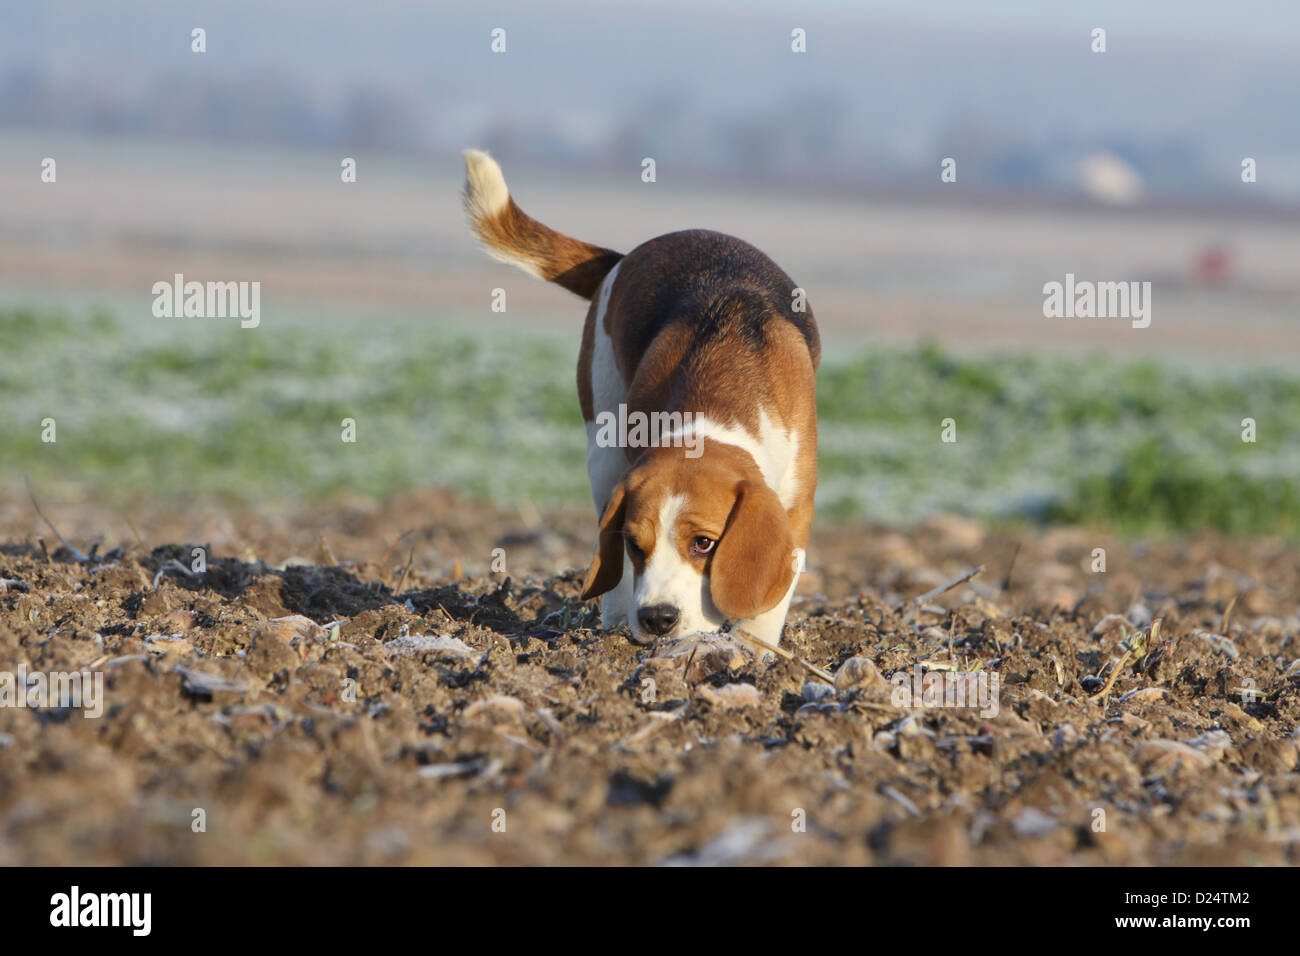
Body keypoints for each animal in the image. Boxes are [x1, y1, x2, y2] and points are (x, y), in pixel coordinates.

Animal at [462, 149, 816, 647]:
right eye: (634, 544)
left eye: (704, 543)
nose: (657, 619)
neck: (717, 402)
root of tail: (626, 256)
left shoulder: (797, 504)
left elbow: (767, 606)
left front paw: (756, 652)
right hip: (602, 448)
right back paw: (613, 625)